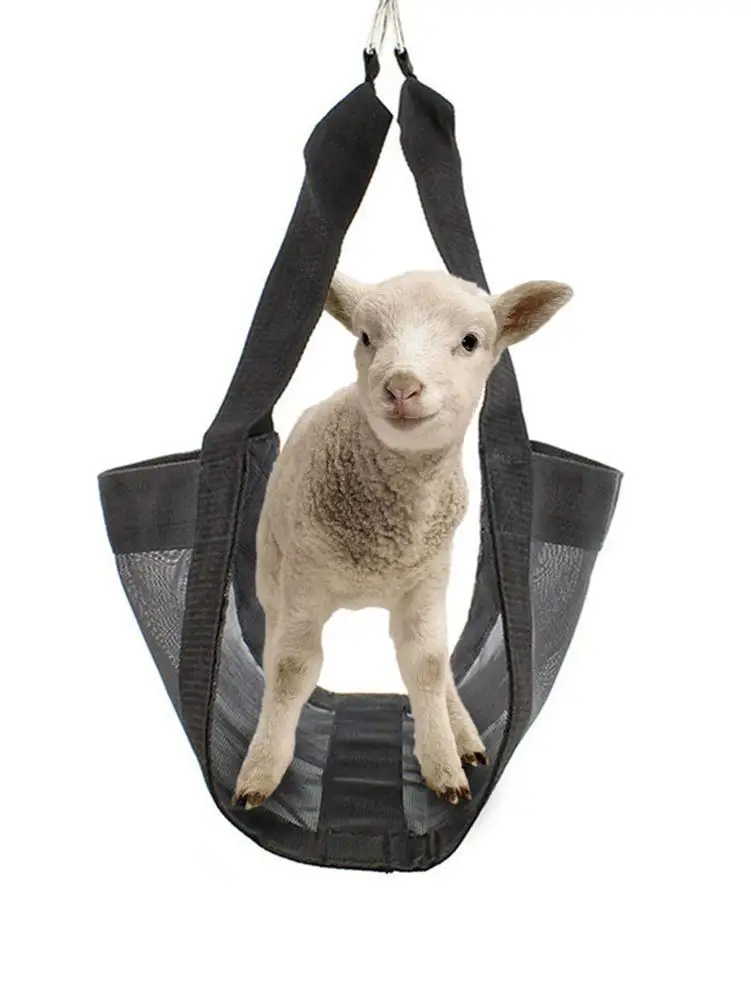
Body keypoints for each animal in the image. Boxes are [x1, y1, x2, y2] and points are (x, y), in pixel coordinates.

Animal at [233, 270, 572, 808]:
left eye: (470, 341)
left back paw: (464, 735)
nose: (401, 387)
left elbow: (428, 665)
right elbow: (290, 669)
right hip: (272, 565)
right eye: (365, 337)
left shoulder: (426, 582)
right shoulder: (304, 581)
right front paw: (262, 769)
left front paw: (443, 764)